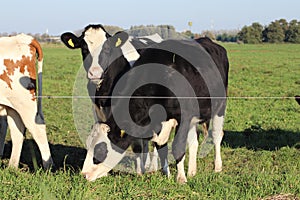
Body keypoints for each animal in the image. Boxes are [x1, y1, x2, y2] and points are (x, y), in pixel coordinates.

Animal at [0, 33, 53, 168]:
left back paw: (48, 167)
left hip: (24, 101)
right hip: (12, 105)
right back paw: (11, 167)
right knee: (17, 130)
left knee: (36, 127)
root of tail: (23, 37)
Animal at [64, 27, 229, 184]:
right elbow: (159, 146)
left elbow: (177, 146)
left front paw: (180, 179)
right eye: (84, 48)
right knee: (194, 141)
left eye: (100, 150)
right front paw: (164, 174)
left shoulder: (183, 116)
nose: (84, 174)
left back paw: (217, 167)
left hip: (220, 106)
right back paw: (192, 171)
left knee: (216, 135)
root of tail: (207, 40)